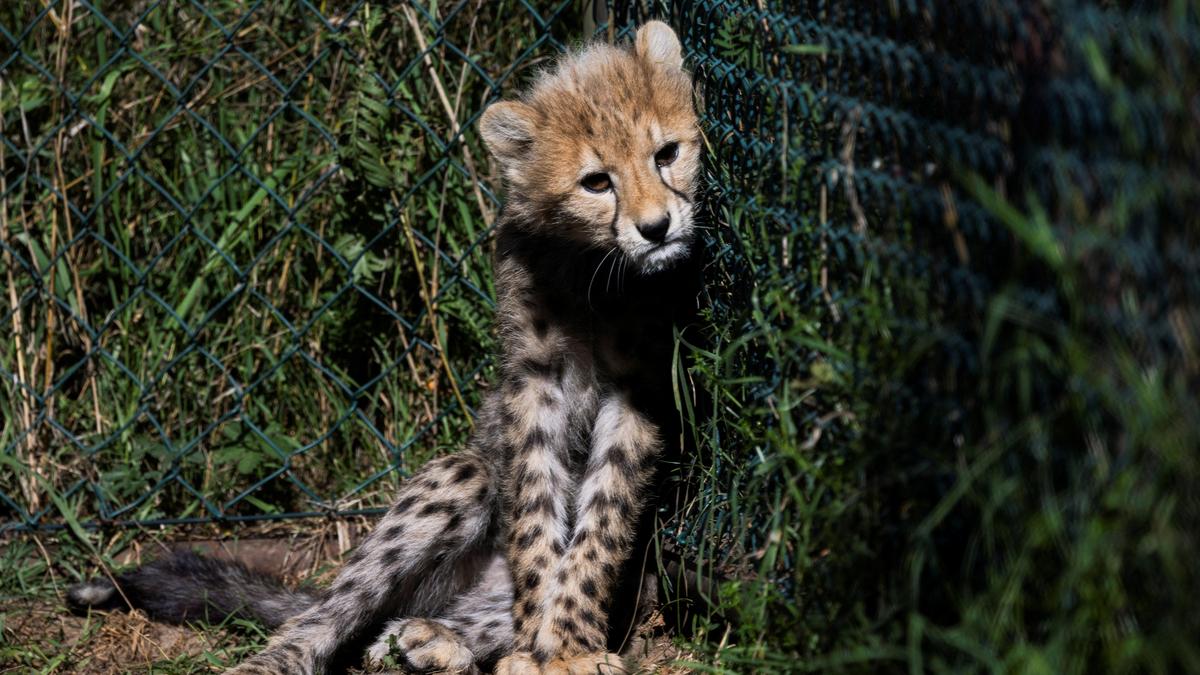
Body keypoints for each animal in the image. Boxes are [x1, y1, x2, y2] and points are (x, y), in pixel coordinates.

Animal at [67, 20, 701, 674]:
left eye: (666, 153)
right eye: (596, 181)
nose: (656, 228)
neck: (592, 271)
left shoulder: (636, 390)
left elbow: (601, 525)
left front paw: (570, 646)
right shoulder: (534, 383)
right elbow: (533, 521)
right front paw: (543, 647)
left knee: (428, 620)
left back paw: (430, 638)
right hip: (461, 474)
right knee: (329, 609)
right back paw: (287, 657)